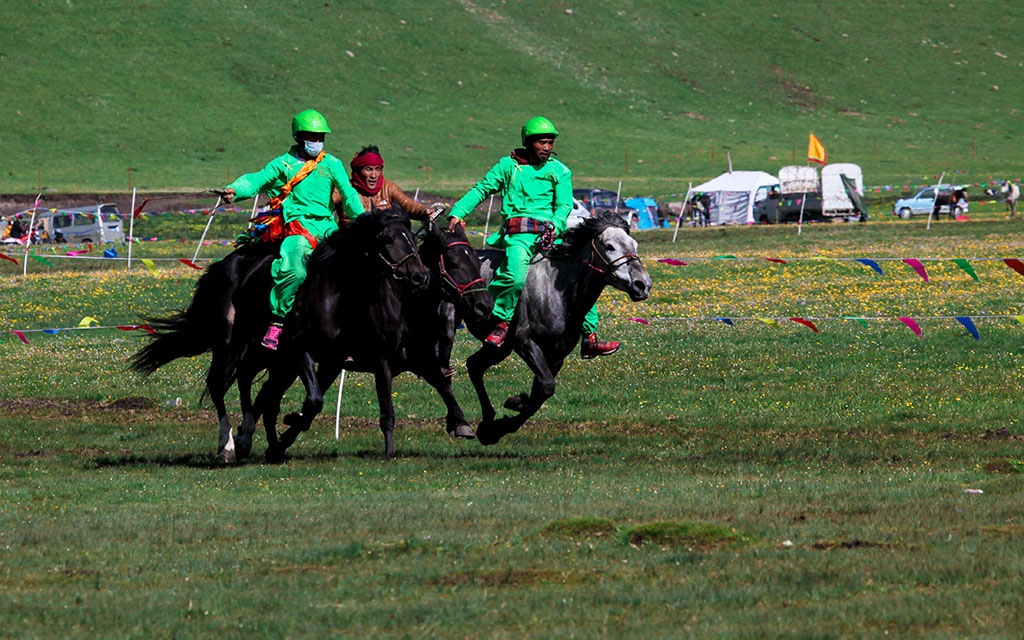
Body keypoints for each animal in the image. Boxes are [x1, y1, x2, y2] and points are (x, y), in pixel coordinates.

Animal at [131, 206, 428, 460]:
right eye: (386, 239)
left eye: (414, 237)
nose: (420, 276)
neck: (336, 294)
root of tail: (225, 264)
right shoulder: (300, 349)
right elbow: (313, 401)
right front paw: (282, 428)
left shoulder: (332, 361)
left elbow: (309, 404)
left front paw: (282, 436)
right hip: (231, 342)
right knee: (219, 384)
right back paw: (228, 444)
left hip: (268, 355)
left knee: (249, 381)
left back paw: (250, 438)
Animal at [249, 217, 493, 456]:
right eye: (452, 263)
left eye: (476, 261)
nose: (485, 305)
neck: (406, 309)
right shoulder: (382, 361)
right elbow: (387, 411)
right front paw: (389, 452)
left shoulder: (422, 359)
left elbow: (444, 386)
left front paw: (462, 424)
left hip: (293, 364)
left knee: (270, 396)